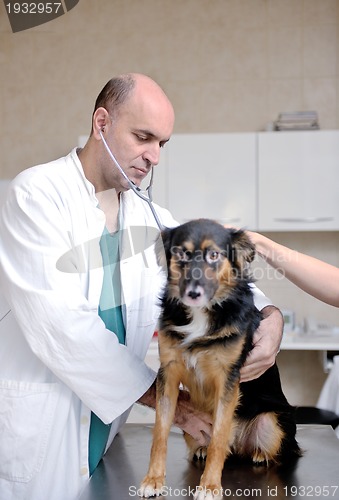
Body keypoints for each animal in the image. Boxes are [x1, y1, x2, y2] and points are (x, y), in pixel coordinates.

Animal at [139, 220, 302, 500]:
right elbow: (159, 433)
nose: (193, 293)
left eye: (214, 255)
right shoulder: (167, 374)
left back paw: (259, 454)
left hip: (272, 422)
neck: (200, 315)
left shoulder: (228, 379)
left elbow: (218, 437)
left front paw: (210, 487)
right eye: (181, 254)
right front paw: (153, 480)